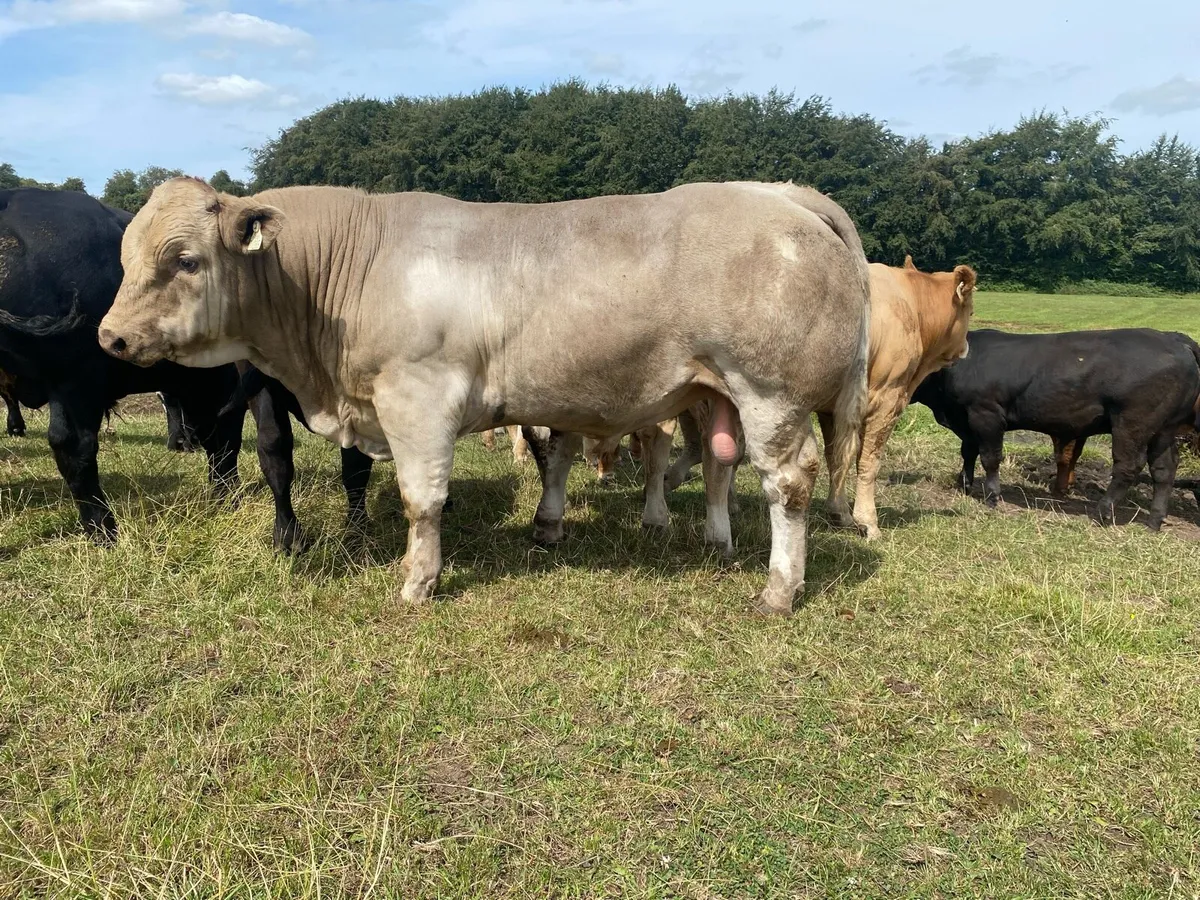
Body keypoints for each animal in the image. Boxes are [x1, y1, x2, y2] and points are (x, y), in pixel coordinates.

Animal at [97, 177, 870, 615]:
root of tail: (781, 195)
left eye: (185, 258)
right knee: (718, 461)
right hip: (715, 395)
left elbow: (423, 499)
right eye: (125, 256)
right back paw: (718, 541)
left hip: (770, 393)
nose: (111, 336)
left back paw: (779, 589)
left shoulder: (418, 398)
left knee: (788, 484)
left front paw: (418, 582)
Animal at [911, 328, 1200, 531]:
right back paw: (1154, 521)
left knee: (1128, 466)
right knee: (1164, 469)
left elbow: (990, 457)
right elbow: (968, 452)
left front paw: (992, 496)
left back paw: (1102, 512)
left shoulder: (986, 413)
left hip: (1132, 423)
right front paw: (964, 485)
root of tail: (1173, 338)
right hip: (1164, 429)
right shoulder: (965, 417)